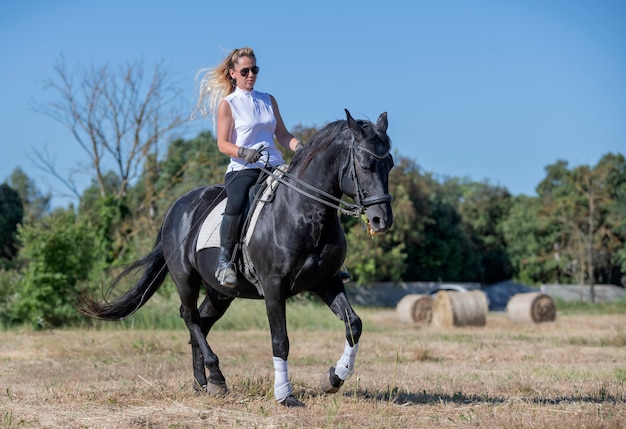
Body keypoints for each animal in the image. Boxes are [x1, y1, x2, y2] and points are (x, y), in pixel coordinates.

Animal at [78, 108, 390, 406]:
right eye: (365, 165)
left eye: (390, 165)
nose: (381, 220)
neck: (305, 213)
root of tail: (176, 207)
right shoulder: (274, 286)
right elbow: (281, 341)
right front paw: (285, 396)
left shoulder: (327, 281)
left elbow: (354, 324)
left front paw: (335, 378)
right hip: (185, 279)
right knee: (189, 317)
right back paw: (216, 377)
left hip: (220, 293)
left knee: (201, 322)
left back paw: (202, 384)